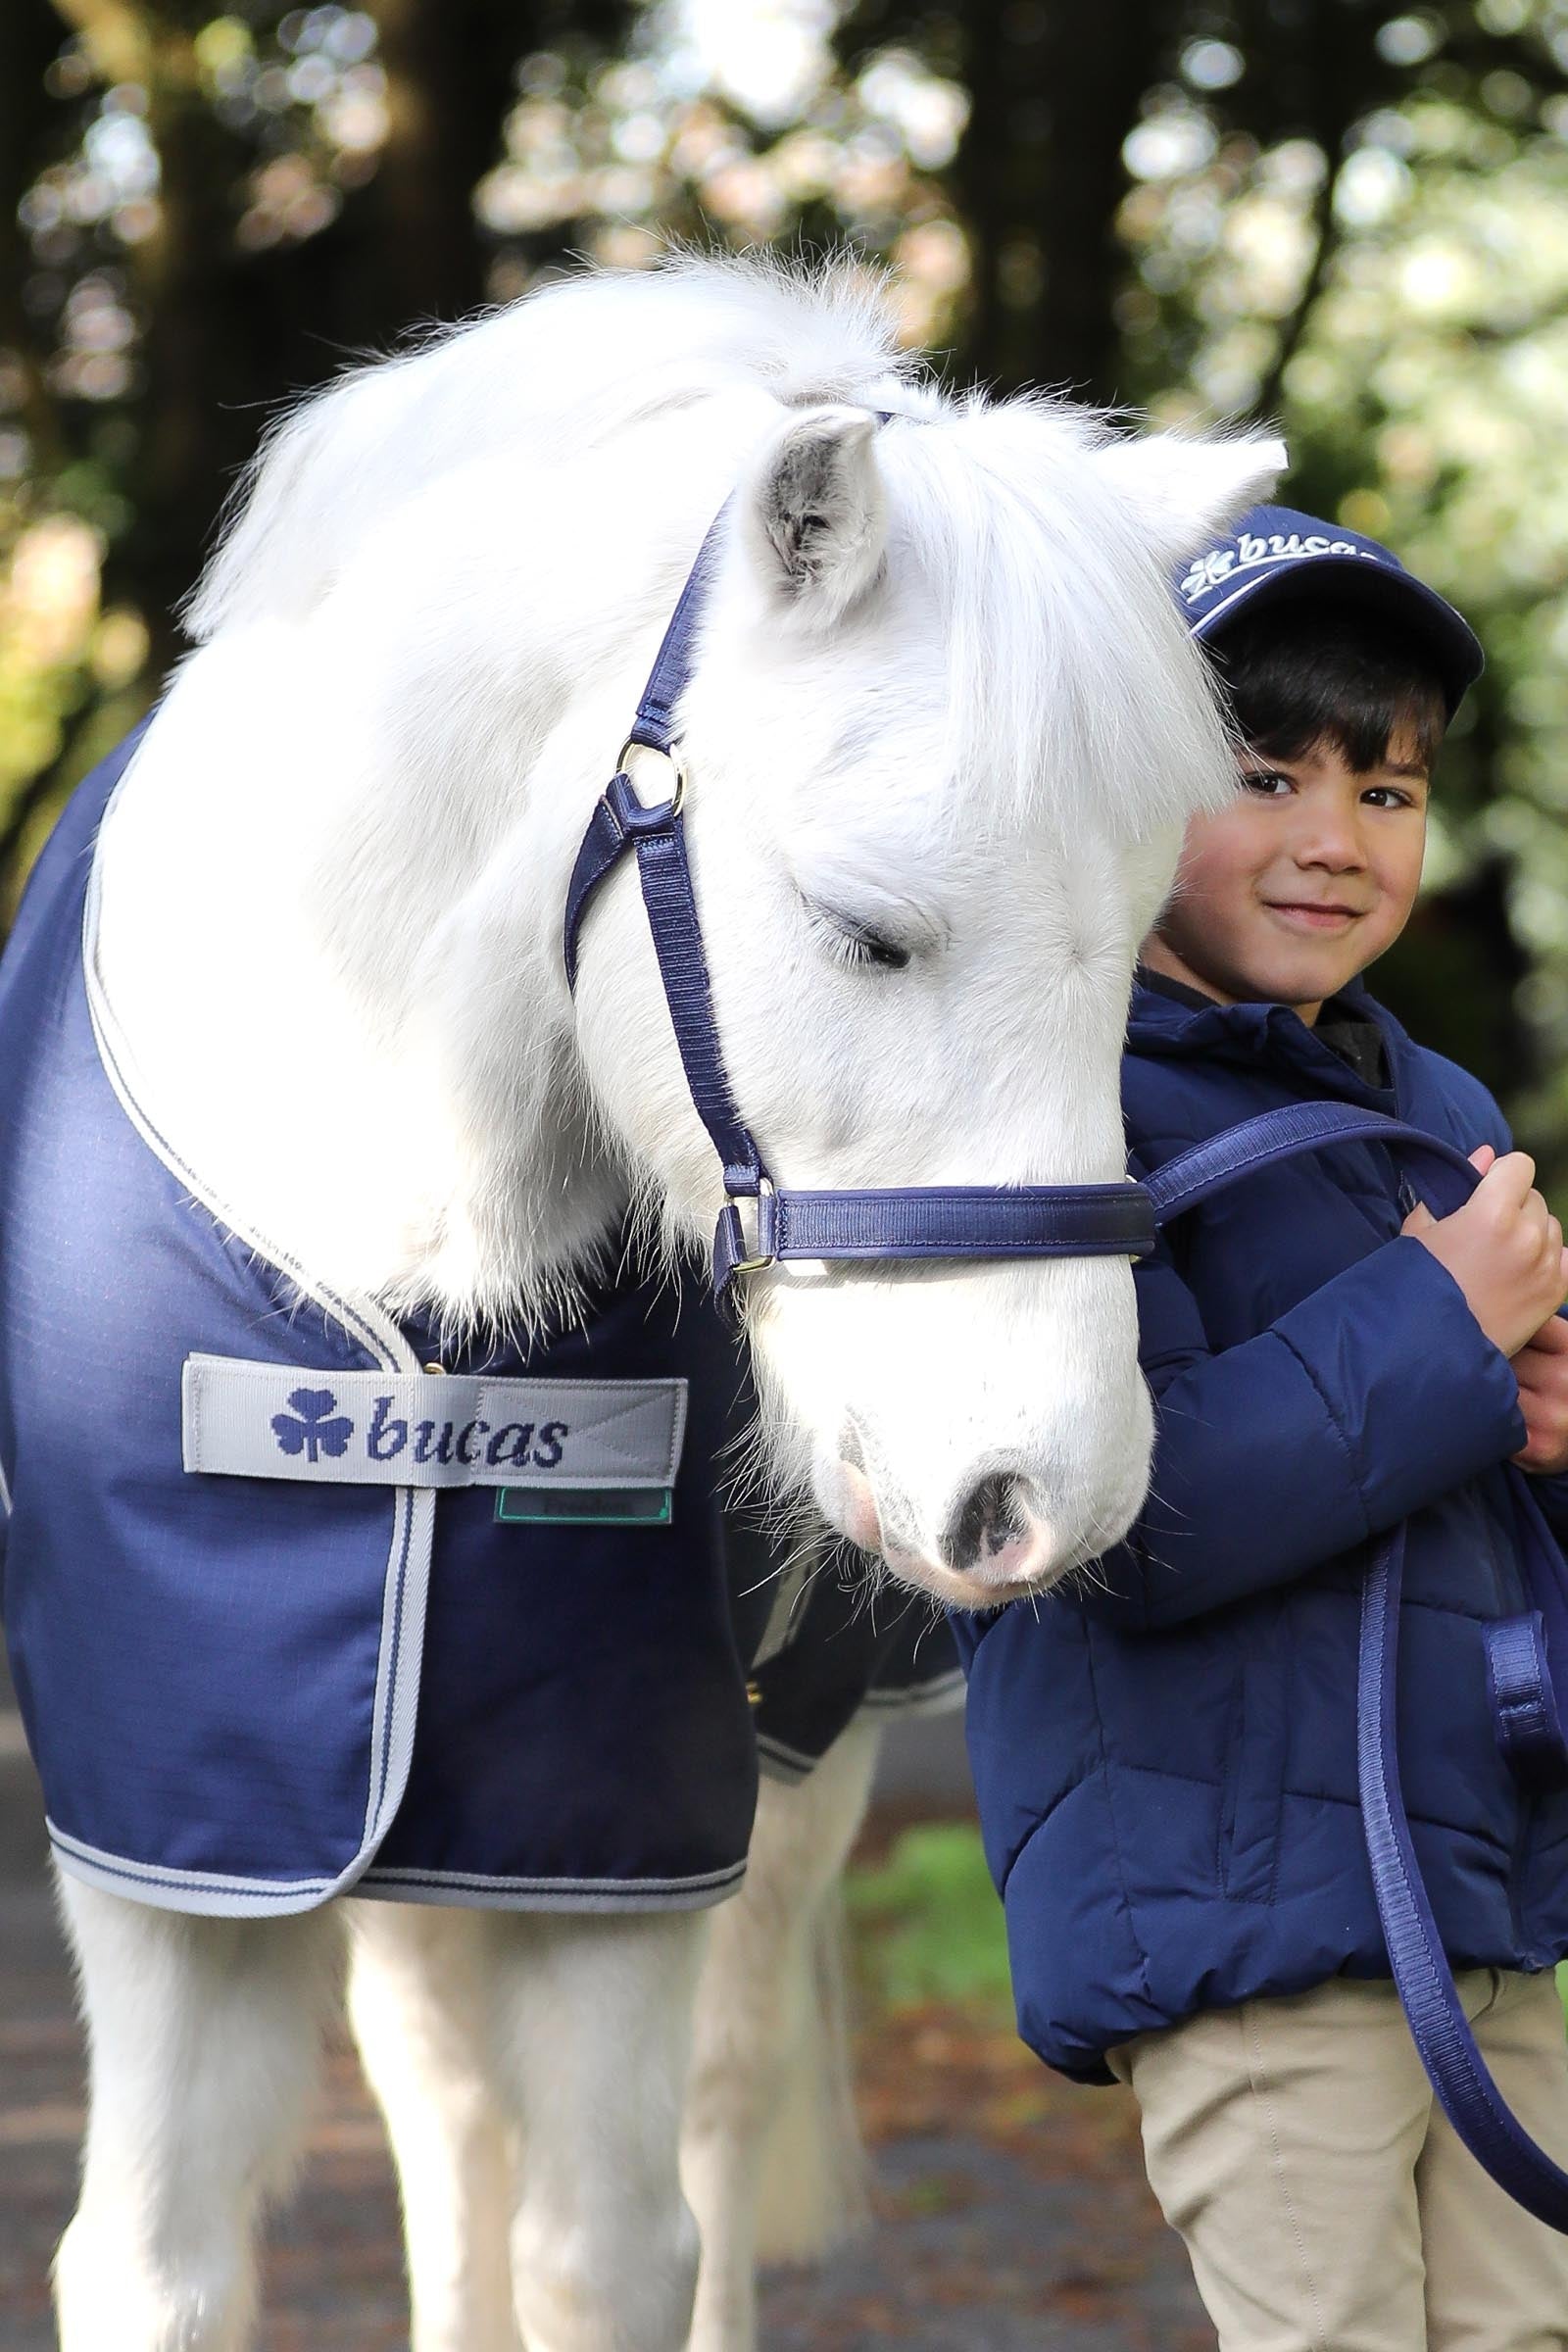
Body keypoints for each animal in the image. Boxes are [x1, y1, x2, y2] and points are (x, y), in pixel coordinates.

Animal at [0, 254, 1281, 2351]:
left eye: (1136, 948)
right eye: (867, 931)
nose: (1047, 1496)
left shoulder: (621, 1840)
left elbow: (614, 2245)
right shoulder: (186, 1832)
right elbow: (161, 2260)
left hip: (782, 1789)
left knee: (705, 2117)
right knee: (443, 2114)